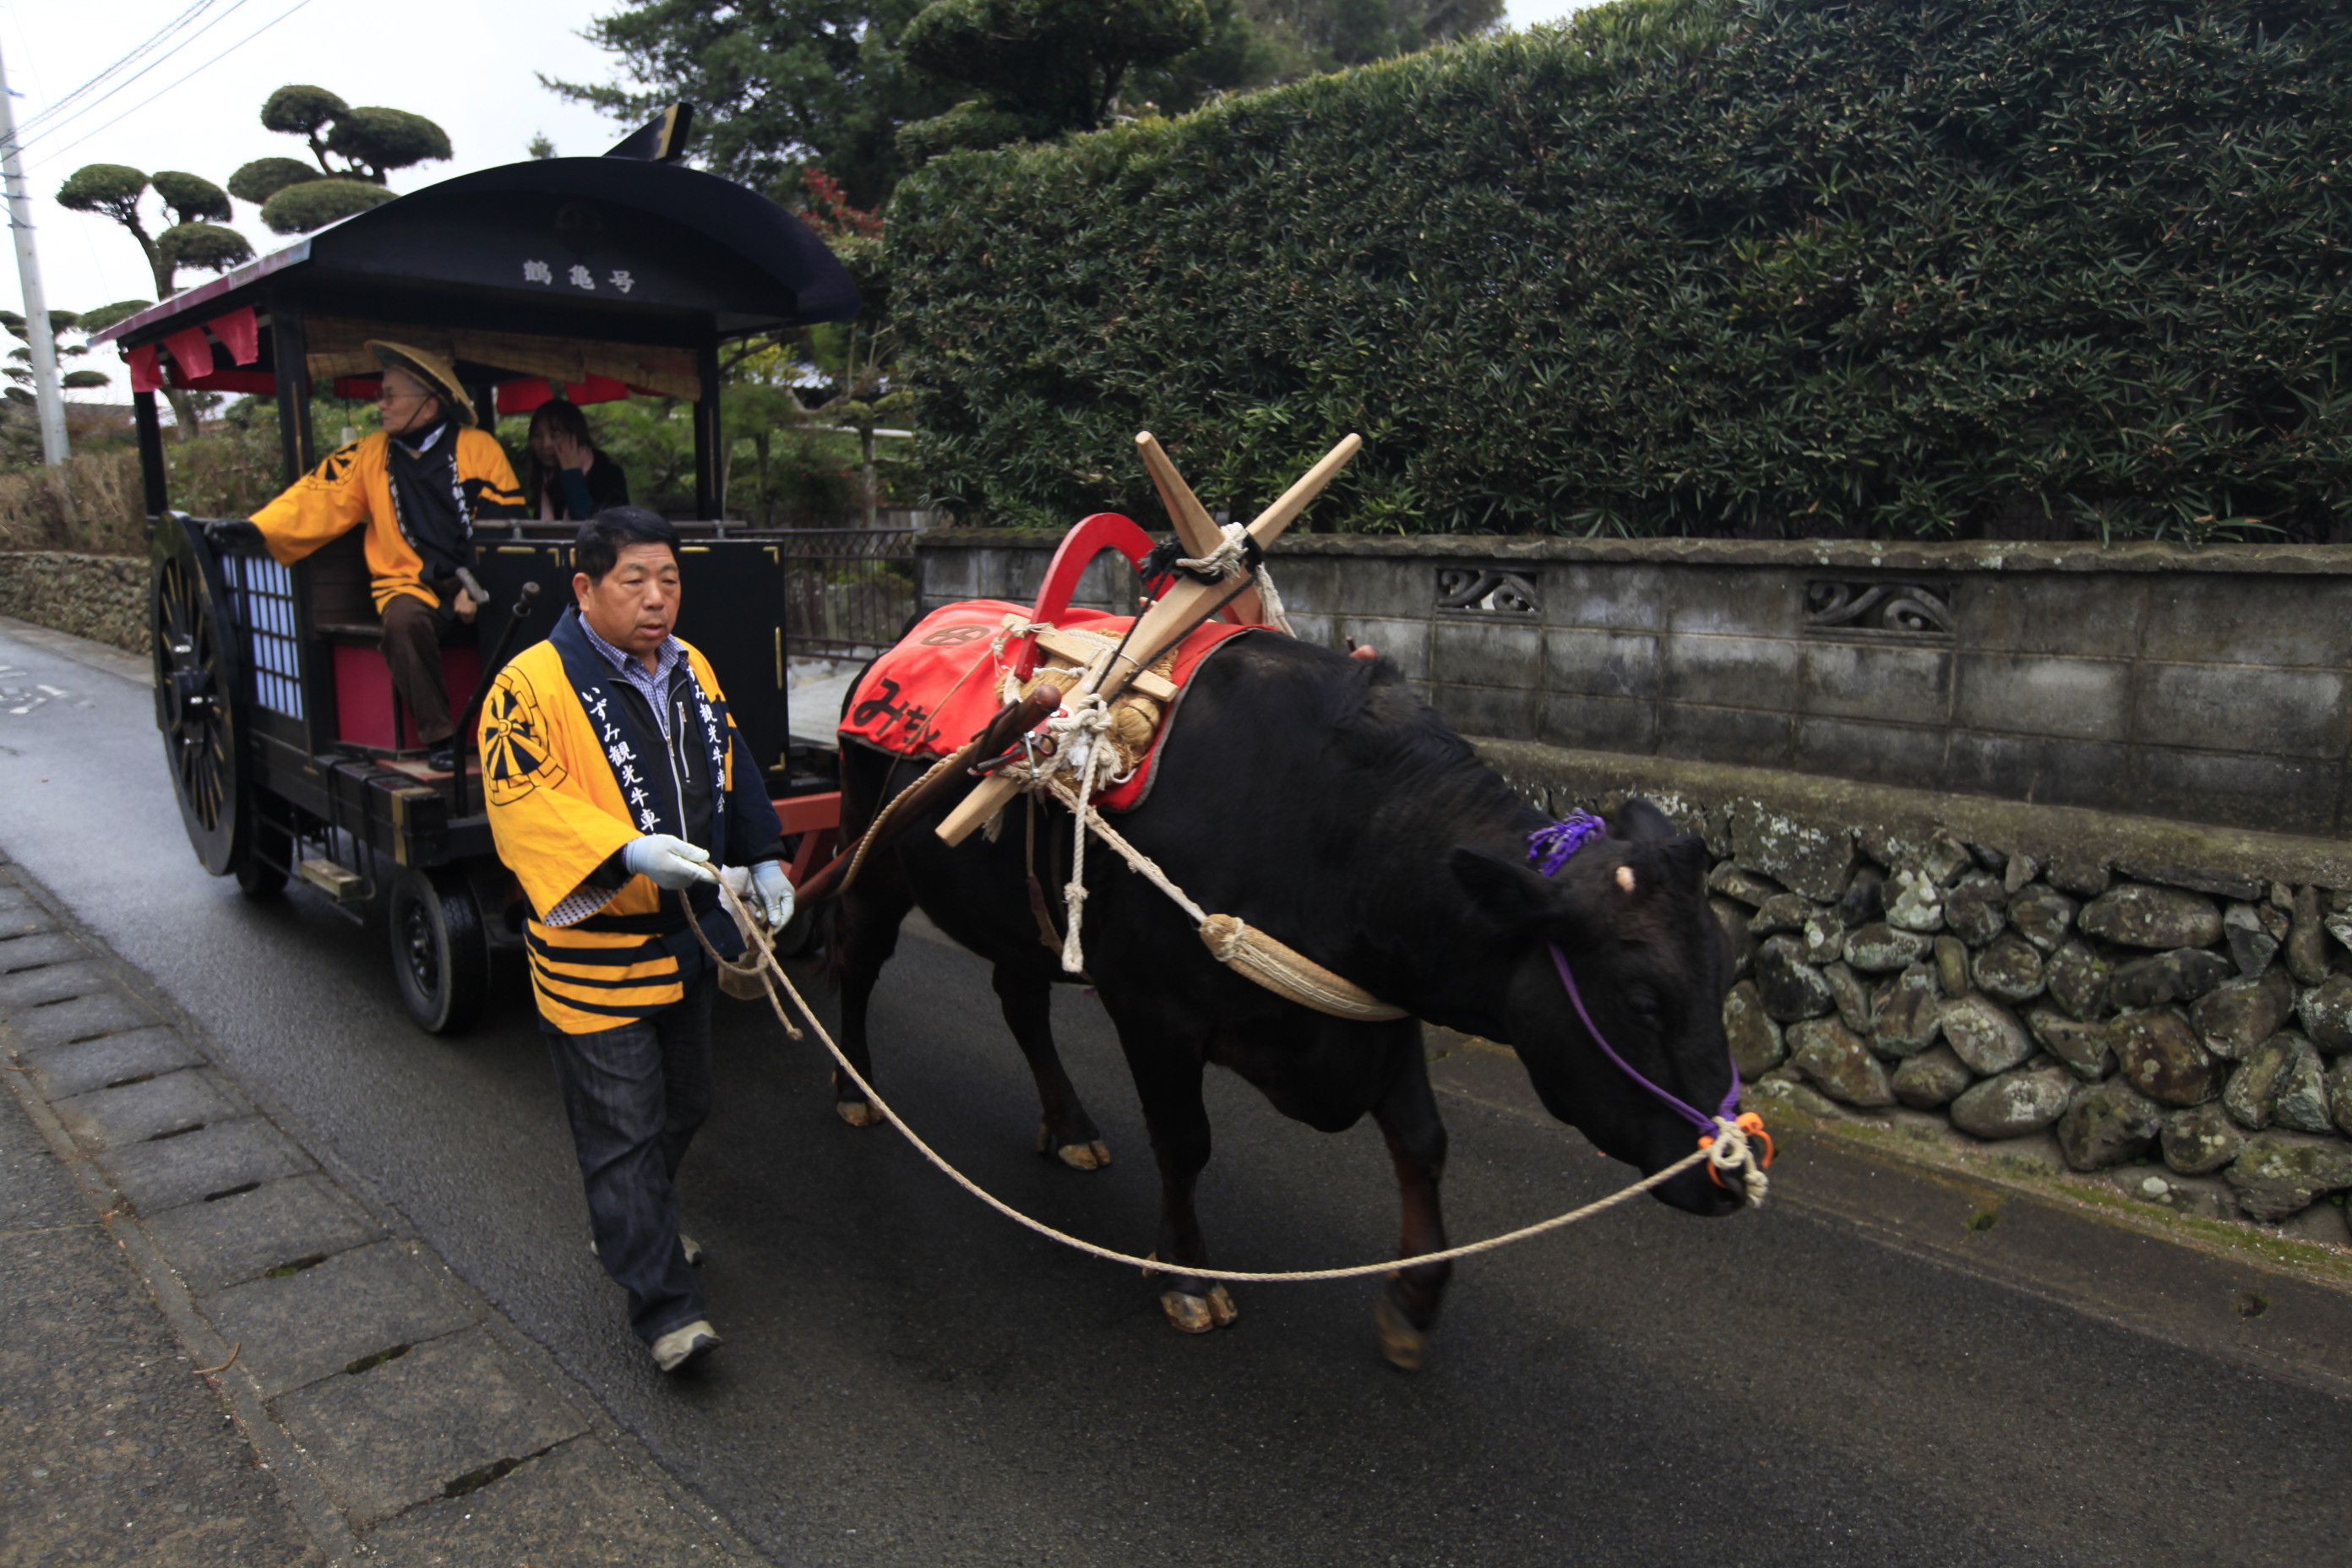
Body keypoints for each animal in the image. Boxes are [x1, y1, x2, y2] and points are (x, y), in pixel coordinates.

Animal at [829, 629, 1743, 1368]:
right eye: (1643, 1001)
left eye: (1726, 973)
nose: (1731, 1174)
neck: (1333, 825)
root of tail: (890, 648)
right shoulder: (1153, 1009)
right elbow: (1185, 1144)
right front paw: (1189, 1278)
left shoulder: (1377, 1008)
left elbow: (1424, 1143)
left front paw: (1414, 1299)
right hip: (873, 854)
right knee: (854, 955)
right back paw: (854, 1088)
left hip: (1022, 918)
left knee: (1018, 999)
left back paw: (1072, 1125)